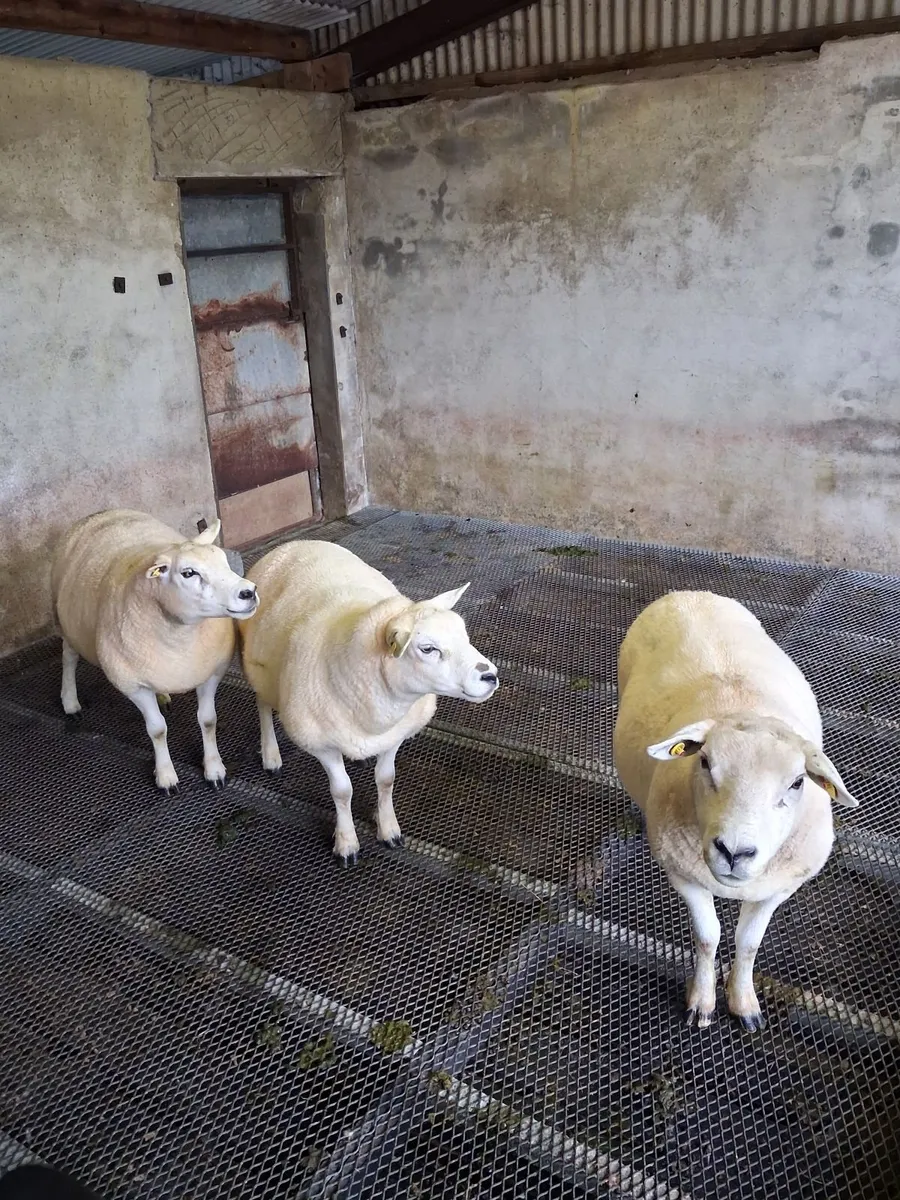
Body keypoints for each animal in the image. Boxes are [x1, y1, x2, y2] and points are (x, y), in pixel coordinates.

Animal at [51, 509, 259, 792]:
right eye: (188, 573)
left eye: (224, 562)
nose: (249, 592)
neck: (179, 637)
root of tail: (103, 512)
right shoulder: (133, 685)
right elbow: (157, 729)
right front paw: (166, 776)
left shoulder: (211, 672)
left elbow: (208, 720)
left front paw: (215, 770)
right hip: (66, 622)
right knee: (69, 658)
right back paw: (70, 702)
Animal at [239, 539, 500, 864]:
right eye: (428, 648)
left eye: (464, 636)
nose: (491, 675)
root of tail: (296, 543)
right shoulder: (321, 744)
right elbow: (341, 791)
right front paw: (346, 842)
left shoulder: (395, 734)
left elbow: (386, 779)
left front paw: (389, 829)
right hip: (256, 668)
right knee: (262, 705)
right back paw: (270, 754)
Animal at [613, 590, 858, 1031]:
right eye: (704, 763)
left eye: (797, 782)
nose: (734, 852)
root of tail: (686, 594)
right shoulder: (683, 873)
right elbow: (708, 936)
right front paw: (701, 1002)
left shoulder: (780, 886)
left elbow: (748, 942)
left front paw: (744, 1003)